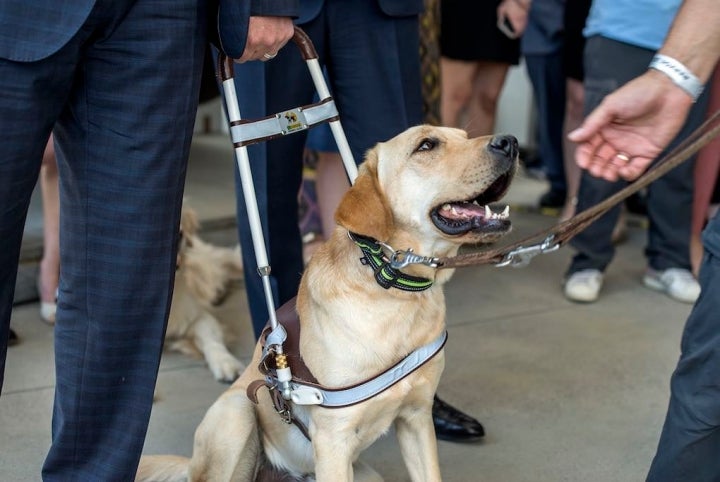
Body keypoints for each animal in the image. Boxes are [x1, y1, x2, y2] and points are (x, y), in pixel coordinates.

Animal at [136, 126, 516, 480]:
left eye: (464, 135)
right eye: (427, 145)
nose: (510, 142)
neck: (391, 289)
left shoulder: (417, 419)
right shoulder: (334, 441)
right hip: (237, 415)